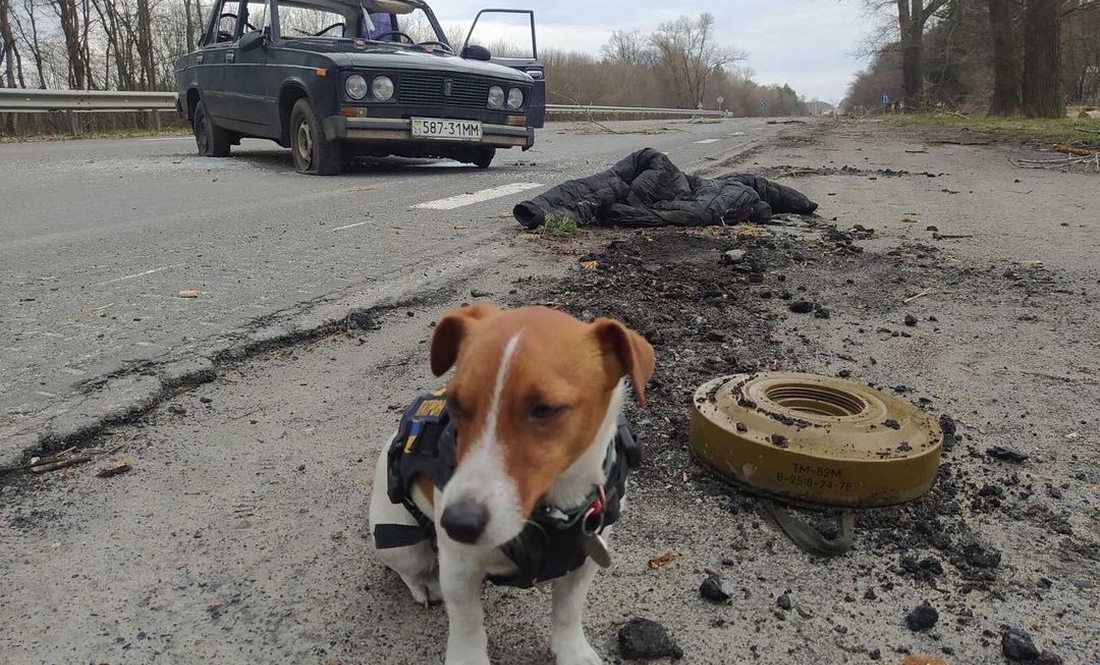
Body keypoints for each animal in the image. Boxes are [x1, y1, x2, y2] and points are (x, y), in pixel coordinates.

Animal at [369, 305, 655, 663]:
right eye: (455, 403)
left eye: (545, 409)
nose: (457, 523)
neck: (553, 509)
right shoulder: (458, 568)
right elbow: (467, 623)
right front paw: (468, 658)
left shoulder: (586, 559)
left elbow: (568, 611)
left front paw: (572, 651)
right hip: (401, 544)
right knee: (409, 568)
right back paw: (424, 585)